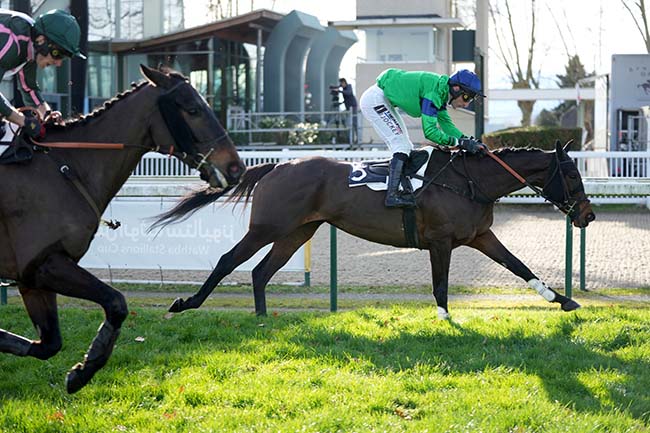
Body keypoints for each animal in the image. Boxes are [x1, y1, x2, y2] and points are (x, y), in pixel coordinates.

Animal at [0, 64, 243, 392]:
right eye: (193, 109)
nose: (236, 167)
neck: (67, 169)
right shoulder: (45, 265)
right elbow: (117, 303)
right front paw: (85, 368)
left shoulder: (34, 277)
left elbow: (49, 344)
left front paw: (79, 370)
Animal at [157, 142, 592, 318]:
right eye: (571, 174)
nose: (587, 216)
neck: (471, 182)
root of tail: (277, 166)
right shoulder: (441, 242)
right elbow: (441, 286)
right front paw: (445, 320)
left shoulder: (481, 236)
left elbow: (519, 266)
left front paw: (562, 300)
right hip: (268, 227)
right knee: (229, 260)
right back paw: (186, 303)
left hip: (297, 232)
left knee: (262, 272)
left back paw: (264, 318)